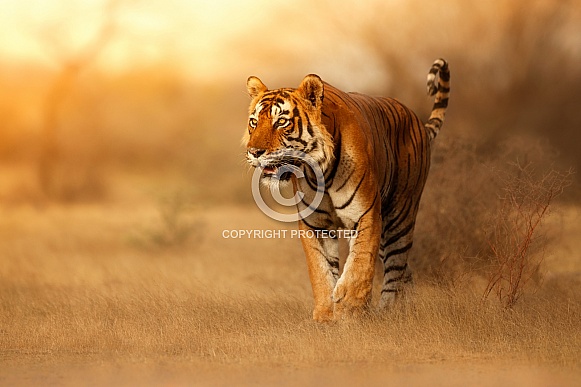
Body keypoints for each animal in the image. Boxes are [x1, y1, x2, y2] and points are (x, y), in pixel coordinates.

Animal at [242, 59, 450, 322]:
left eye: (281, 122)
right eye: (254, 122)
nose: (254, 152)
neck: (319, 171)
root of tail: (417, 121)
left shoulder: (365, 213)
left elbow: (360, 264)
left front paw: (349, 309)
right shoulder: (315, 223)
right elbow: (320, 269)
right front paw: (325, 314)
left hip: (399, 216)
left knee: (396, 266)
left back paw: (388, 311)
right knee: (404, 270)